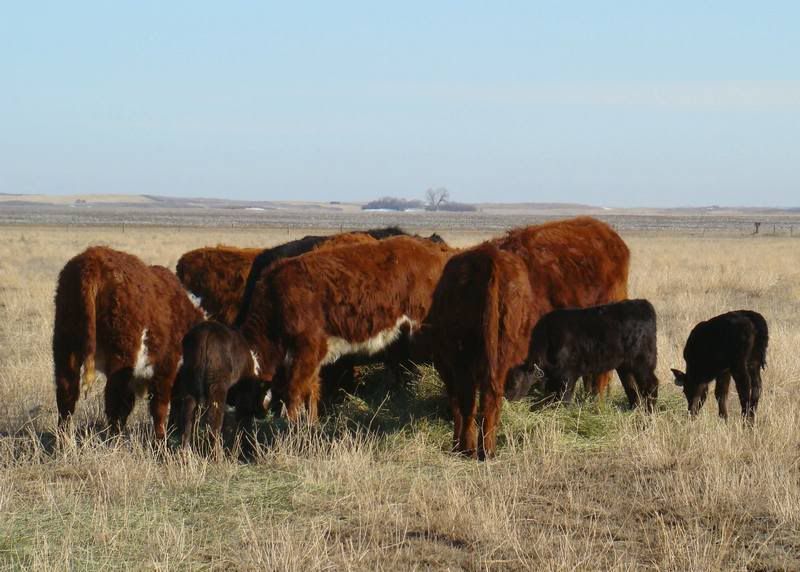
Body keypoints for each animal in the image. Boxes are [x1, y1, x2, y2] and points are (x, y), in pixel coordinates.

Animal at [53, 246, 204, 439]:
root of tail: (93, 259)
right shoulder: (166, 368)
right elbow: (159, 407)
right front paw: (160, 438)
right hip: (122, 355)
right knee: (114, 400)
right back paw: (114, 439)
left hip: (65, 345)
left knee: (66, 394)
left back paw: (64, 440)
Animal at [170, 320, 269, 448]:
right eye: (261, 394)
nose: (263, 413)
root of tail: (206, 332)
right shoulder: (244, 394)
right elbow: (243, 419)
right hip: (217, 386)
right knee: (214, 419)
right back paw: (216, 451)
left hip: (189, 383)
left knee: (187, 416)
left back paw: (185, 450)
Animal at [426, 243, 534, 459]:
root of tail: (488, 256)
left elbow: (456, 404)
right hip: (500, 354)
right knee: (491, 398)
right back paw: (488, 449)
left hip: (462, 357)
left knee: (469, 401)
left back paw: (468, 448)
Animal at [505, 299, 659, 412]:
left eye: (515, 382)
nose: (507, 398)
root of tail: (643, 304)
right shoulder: (554, 379)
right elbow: (551, 398)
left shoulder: (567, 376)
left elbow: (564, 399)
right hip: (625, 366)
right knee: (632, 387)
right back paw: (634, 410)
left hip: (642, 363)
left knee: (651, 385)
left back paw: (650, 412)